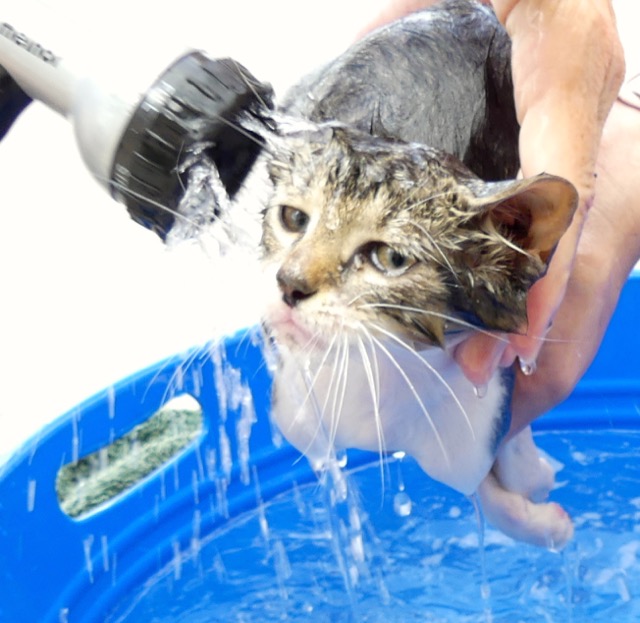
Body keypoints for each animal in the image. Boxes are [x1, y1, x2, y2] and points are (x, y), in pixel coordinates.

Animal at [255, 0, 576, 544]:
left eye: (389, 259)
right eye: (293, 219)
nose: (288, 284)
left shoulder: (472, 422)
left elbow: (494, 475)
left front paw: (537, 496)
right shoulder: (296, 416)